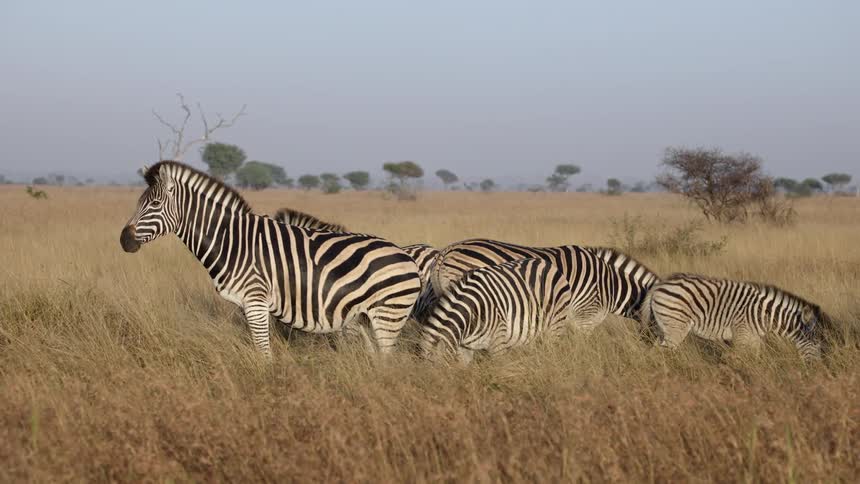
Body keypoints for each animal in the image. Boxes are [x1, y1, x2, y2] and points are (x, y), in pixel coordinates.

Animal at [120, 161, 422, 356]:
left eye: (155, 204)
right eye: (138, 203)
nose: (124, 240)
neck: (232, 240)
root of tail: (407, 257)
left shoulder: (255, 300)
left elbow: (263, 353)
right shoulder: (248, 305)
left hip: (388, 314)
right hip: (364, 318)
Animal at [640, 273, 833, 360]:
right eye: (816, 343)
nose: (816, 368)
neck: (764, 315)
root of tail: (658, 286)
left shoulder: (754, 338)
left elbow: (756, 358)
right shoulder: (741, 334)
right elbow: (737, 359)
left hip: (663, 327)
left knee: (654, 350)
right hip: (675, 328)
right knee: (661, 352)